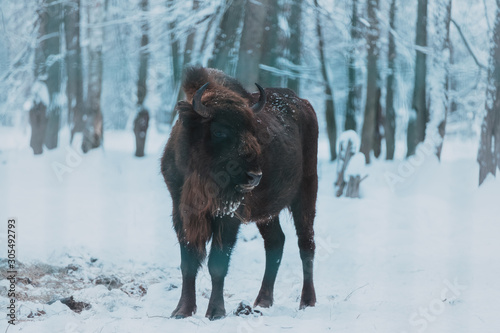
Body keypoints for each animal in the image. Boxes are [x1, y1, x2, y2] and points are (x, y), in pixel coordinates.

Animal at [162, 66, 318, 318]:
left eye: (252, 129)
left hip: (306, 195)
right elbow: (188, 262)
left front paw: (215, 312)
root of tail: (304, 104)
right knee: (276, 242)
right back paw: (263, 301)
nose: (254, 176)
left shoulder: (228, 216)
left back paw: (307, 302)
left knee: (306, 244)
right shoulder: (182, 213)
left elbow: (217, 264)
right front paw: (182, 310)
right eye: (219, 131)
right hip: (267, 213)